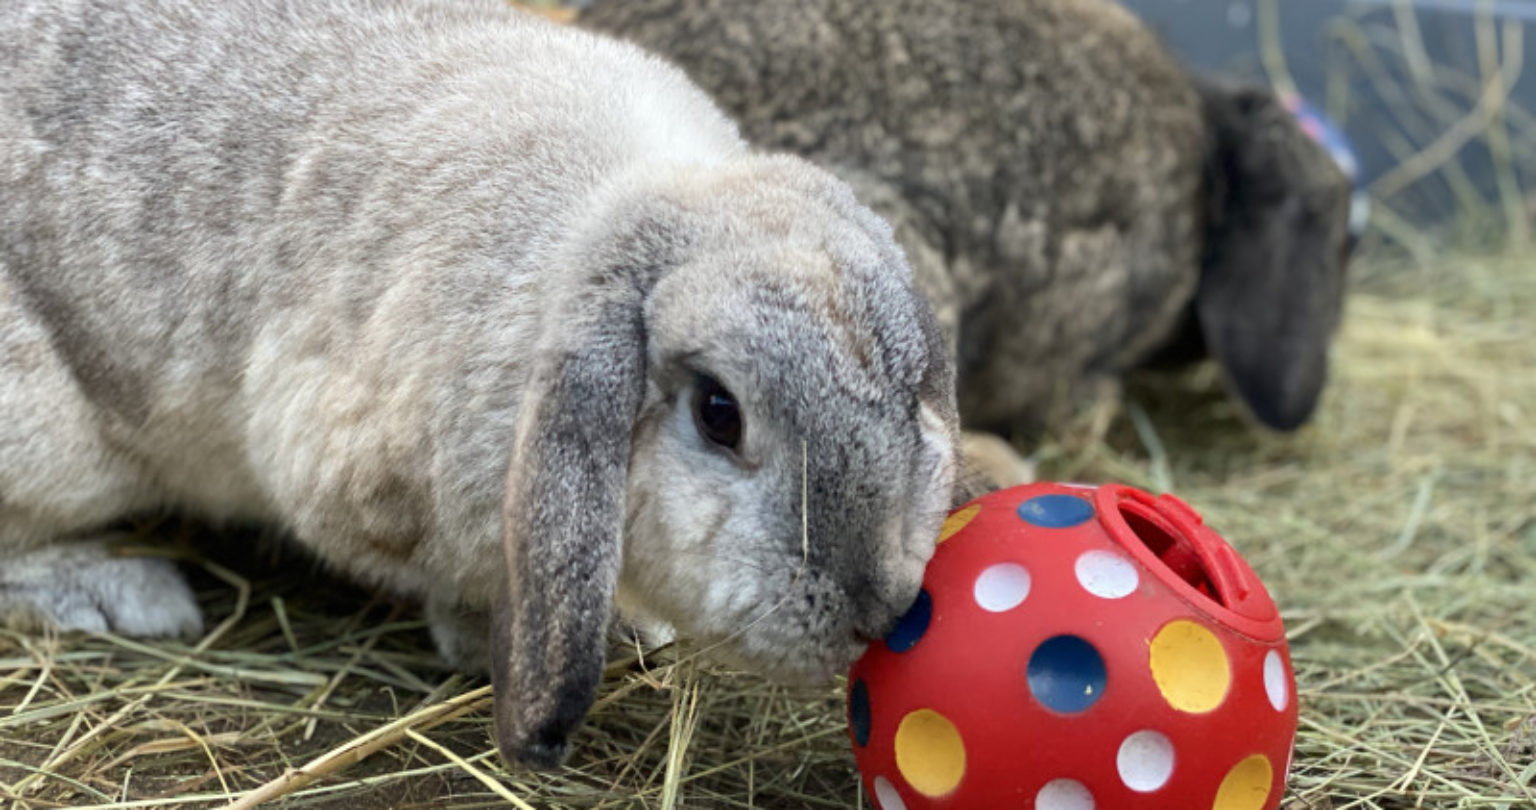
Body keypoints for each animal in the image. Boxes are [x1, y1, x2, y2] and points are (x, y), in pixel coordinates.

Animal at [0, 0, 976, 770]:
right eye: (719, 414)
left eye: (913, 401)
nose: (876, 611)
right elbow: (456, 590)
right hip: (57, 447)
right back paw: (122, 592)